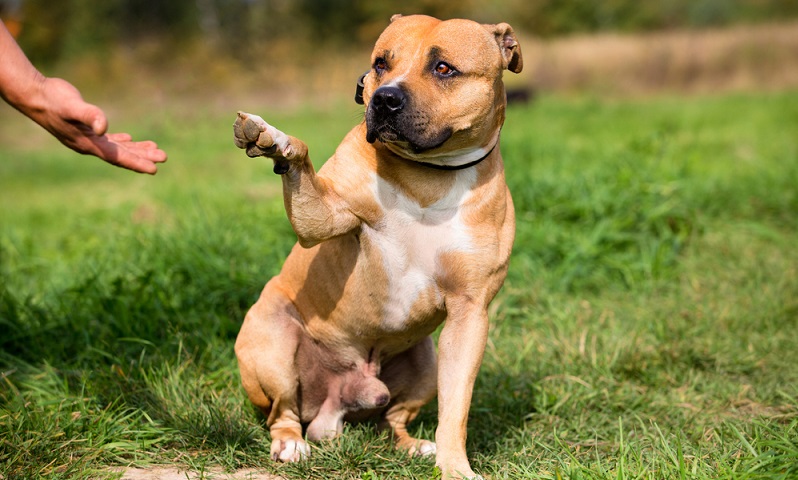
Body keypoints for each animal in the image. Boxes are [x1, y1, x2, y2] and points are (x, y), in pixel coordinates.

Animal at [231, 13, 520, 478]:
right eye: (381, 64)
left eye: (444, 68)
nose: (385, 99)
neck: (428, 176)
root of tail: (335, 406)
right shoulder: (325, 216)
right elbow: (302, 166)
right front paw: (275, 141)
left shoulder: (470, 313)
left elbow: (455, 408)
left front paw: (454, 466)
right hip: (273, 341)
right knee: (282, 412)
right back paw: (290, 445)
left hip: (425, 362)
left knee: (392, 420)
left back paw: (414, 446)